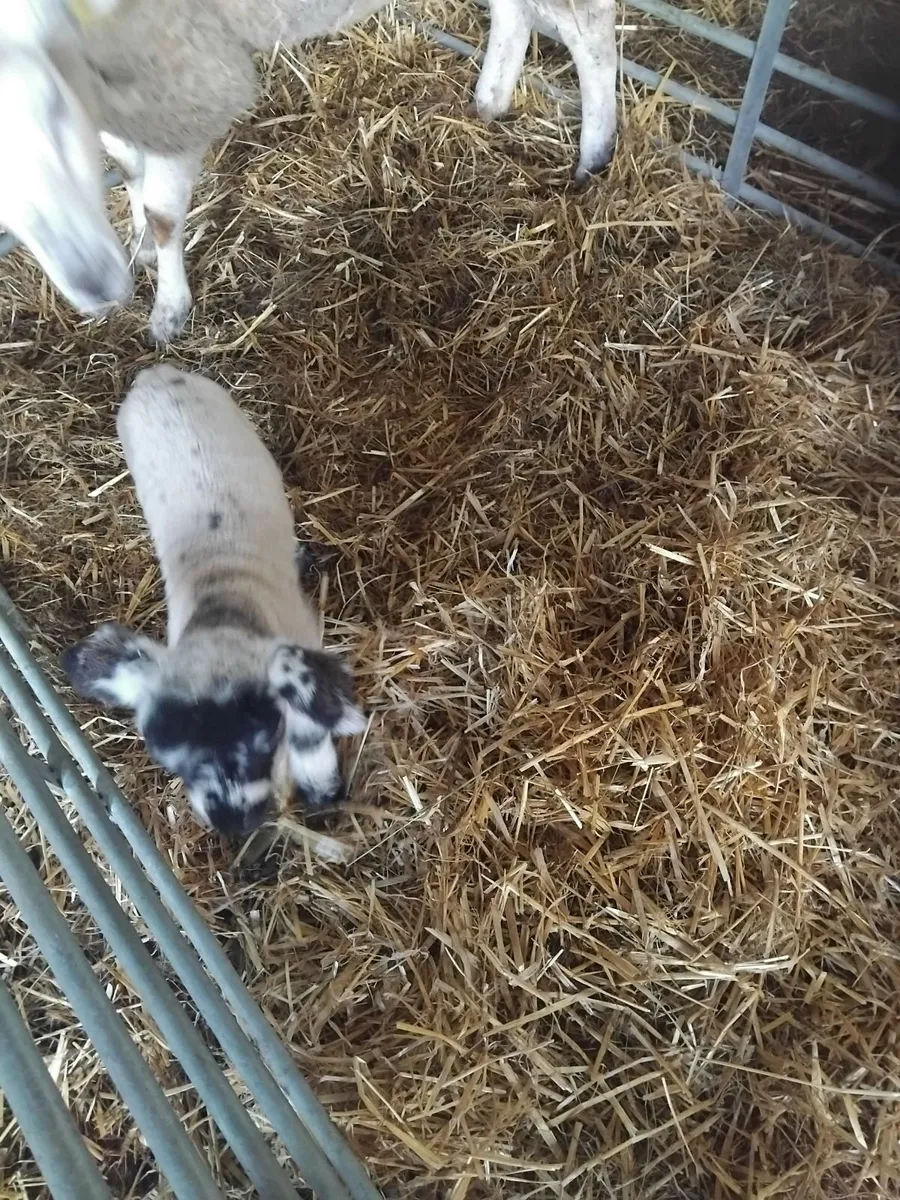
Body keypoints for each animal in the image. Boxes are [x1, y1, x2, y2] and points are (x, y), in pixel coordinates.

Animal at [0, 0, 617, 344]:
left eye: (52, 106)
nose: (99, 289)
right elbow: (130, 165)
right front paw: (140, 249)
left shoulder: (185, 74)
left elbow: (163, 212)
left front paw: (168, 311)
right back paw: (490, 101)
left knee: (589, 25)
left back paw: (595, 153)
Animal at [62, 364, 366, 837]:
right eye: (168, 761)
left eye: (264, 743)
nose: (235, 823)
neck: (224, 604)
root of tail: (156, 375)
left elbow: (310, 734)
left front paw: (323, 791)